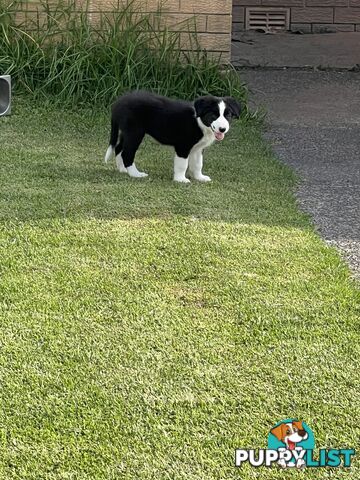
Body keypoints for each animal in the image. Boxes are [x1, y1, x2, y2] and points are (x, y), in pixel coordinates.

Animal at [104, 91, 240, 183]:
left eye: (228, 115)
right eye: (213, 115)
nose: (222, 129)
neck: (199, 121)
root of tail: (117, 104)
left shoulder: (198, 149)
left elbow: (197, 164)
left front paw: (199, 177)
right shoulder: (183, 146)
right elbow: (182, 164)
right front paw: (180, 179)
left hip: (126, 132)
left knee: (119, 148)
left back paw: (122, 169)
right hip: (135, 133)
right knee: (127, 153)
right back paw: (135, 174)